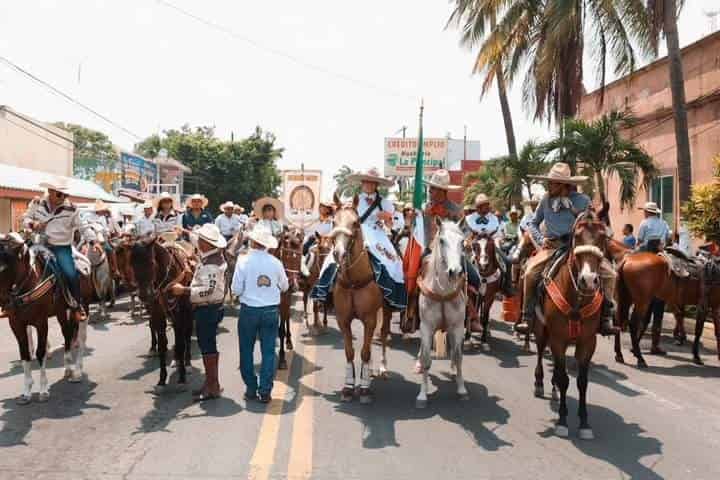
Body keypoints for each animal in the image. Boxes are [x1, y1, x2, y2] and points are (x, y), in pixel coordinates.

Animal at [0, 234, 94, 404]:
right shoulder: (16, 324)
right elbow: (25, 354)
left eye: (4, 269)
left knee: (81, 338)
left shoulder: (41, 322)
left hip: (84, 307)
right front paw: (26, 392)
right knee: (67, 334)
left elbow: (40, 352)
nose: (4, 303)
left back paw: (77, 371)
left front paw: (43, 390)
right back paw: (68, 368)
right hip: (62, 312)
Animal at [128, 238, 193, 388]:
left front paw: (182, 376)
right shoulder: (158, 314)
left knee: (187, 333)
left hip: (187, 311)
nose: (144, 295)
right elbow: (162, 345)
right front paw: (162, 377)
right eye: (132, 265)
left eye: (151, 263)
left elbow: (180, 343)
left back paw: (187, 361)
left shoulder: (179, 312)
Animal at [330, 199, 390, 404]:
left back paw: (381, 368)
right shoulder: (343, 320)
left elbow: (365, 351)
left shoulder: (370, 319)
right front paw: (348, 387)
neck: (353, 281)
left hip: (387, 311)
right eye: (333, 222)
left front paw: (364, 389)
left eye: (355, 223)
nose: (338, 253)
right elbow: (350, 352)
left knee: (383, 335)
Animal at [416, 219, 466, 406]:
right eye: (442, 240)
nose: (455, 271)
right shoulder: (426, 327)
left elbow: (458, 356)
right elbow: (425, 358)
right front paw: (422, 394)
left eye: (462, 241)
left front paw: (461, 389)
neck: (443, 293)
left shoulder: (458, 327)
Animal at [536, 212, 608, 440]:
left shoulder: (587, 342)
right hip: (541, 331)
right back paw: (539, 383)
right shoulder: (558, 339)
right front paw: (562, 420)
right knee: (540, 352)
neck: (577, 299)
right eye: (576, 236)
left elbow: (582, 382)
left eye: (603, 237)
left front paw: (584, 423)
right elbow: (564, 378)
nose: (588, 280)